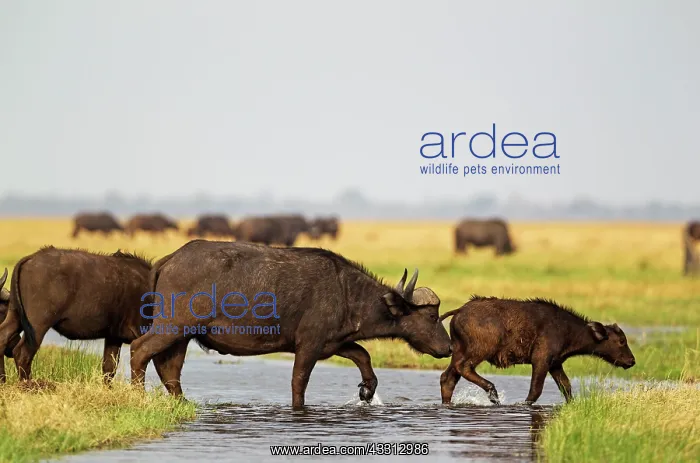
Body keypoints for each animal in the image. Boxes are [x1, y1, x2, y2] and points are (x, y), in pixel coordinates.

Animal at [0, 247, 153, 384]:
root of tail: (30, 258)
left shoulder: (113, 338)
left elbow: (109, 368)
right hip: (37, 326)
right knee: (22, 352)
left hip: (15, 316)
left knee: (3, 337)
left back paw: (3, 380)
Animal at [130, 240, 453, 409]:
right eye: (432, 316)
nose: (448, 347)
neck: (346, 291)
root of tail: (170, 259)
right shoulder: (308, 345)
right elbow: (300, 381)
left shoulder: (332, 343)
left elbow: (363, 355)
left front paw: (367, 391)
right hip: (172, 327)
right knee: (139, 350)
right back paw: (137, 394)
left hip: (182, 335)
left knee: (169, 368)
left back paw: (182, 403)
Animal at [438, 296, 636, 406]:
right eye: (621, 341)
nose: (631, 361)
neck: (568, 330)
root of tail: (460, 311)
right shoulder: (541, 360)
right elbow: (535, 391)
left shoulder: (555, 364)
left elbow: (566, 387)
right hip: (479, 351)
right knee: (463, 368)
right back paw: (493, 394)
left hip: (459, 351)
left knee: (448, 377)